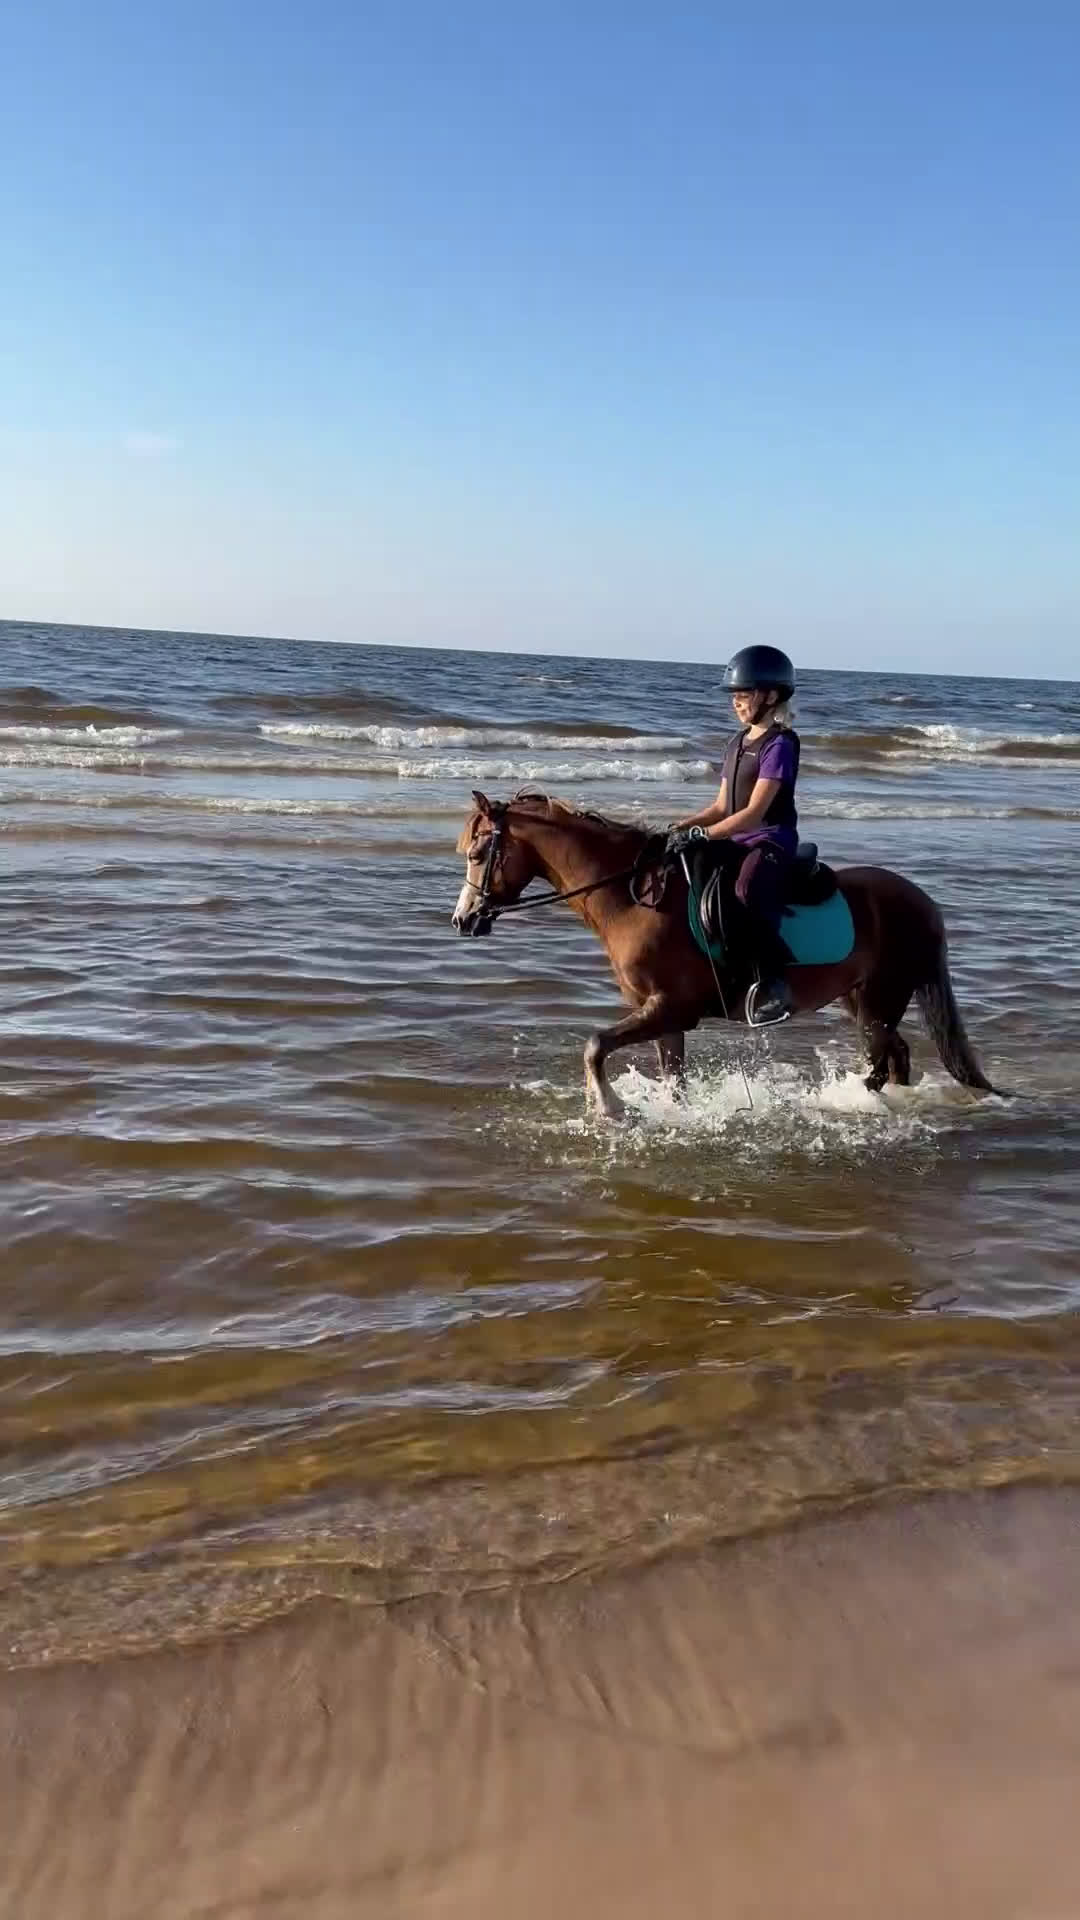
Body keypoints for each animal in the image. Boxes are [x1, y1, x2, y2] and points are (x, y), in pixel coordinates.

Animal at [451, 788, 997, 1121]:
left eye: (478, 854)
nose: (463, 920)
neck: (634, 898)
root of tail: (923, 902)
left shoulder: (673, 1008)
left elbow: (594, 1044)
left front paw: (609, 1108)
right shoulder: (661, 1015)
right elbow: (672, 1079)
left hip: (880, 1000)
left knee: (884, 1059)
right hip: (862, 999)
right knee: (896, 1054)